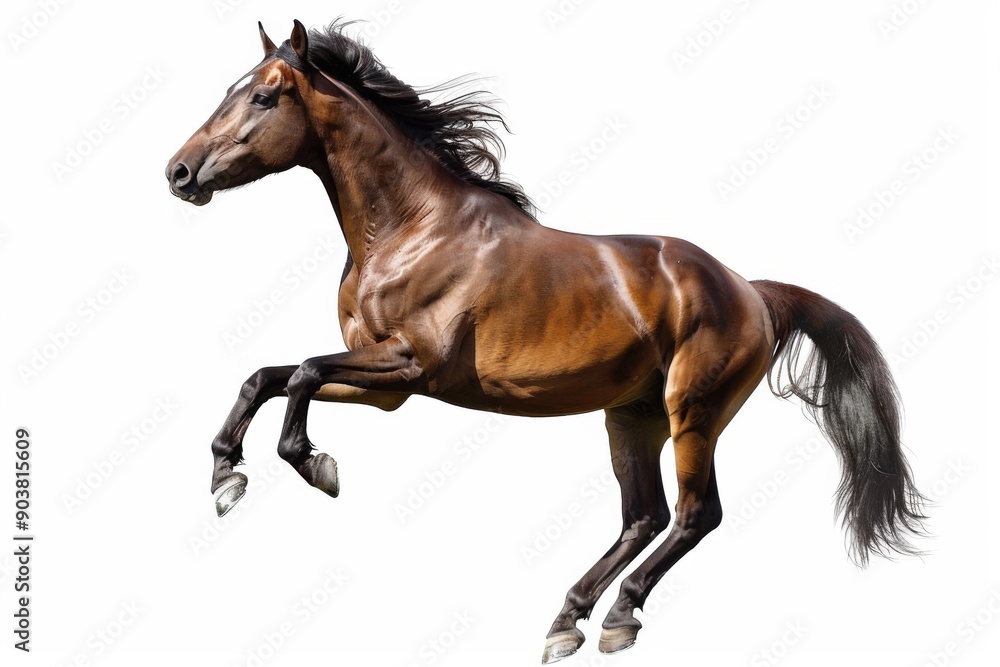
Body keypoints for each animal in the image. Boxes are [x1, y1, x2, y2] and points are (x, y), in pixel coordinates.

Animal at [165, 20, 926, 663]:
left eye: (263, 96)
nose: (178, 173)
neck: (411, 229)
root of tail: (751, 289)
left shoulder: (410, 369)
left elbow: (297, 375)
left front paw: (313, 464)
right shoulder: (382, 385)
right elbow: (267, 375)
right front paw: (227, 474)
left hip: (692, 412)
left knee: (692, 514)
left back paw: (617, 617)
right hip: (631, 416)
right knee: (643, 515)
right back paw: (569, 619)